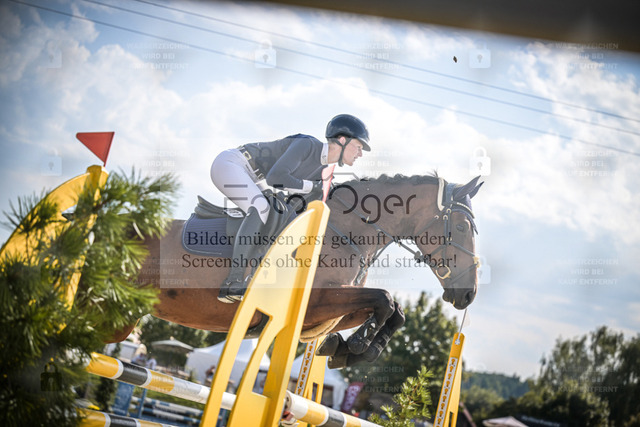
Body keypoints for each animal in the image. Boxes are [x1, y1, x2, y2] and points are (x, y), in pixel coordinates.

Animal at [113, 173, 483, 368]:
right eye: (462, 227)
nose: (469, 294)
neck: (345, 231)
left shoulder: (328, 312)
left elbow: (395, 311)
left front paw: (346, 349)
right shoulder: (318, 301)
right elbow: (385, 299)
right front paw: (358, 345)